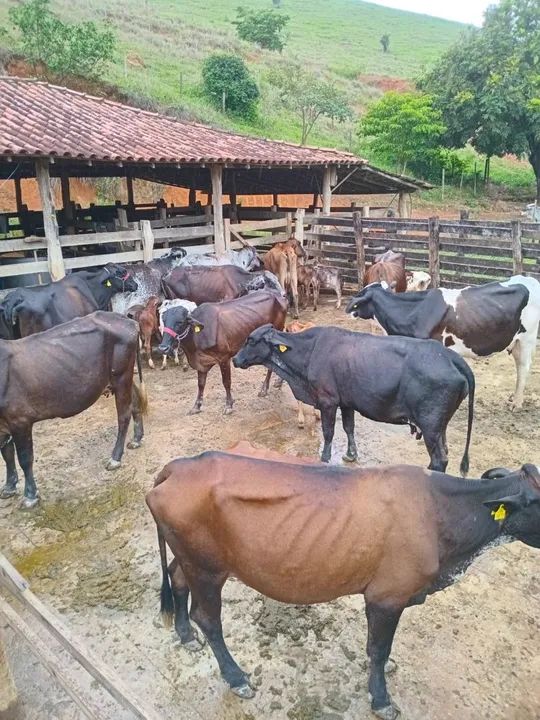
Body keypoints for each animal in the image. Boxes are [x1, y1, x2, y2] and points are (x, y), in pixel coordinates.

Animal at [0, 312, 147, 508]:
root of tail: (124, 317)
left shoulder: (20, 420)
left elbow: (25, 458)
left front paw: (30, 495)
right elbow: (7, 454)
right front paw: (9, 486)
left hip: (121, 375)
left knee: (123, 416)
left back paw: (115, 458)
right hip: (120, 379)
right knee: (136, 403)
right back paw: (137, 439)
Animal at [147, 445, 540, 720]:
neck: (441, 512)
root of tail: (179, 466)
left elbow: (377, 647)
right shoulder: (387, 596)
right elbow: (378, 649)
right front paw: (381, 699)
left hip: (191, 560)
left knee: (177, 579)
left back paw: (185, 635)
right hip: (207, 568)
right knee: (208, 618)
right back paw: (236, 677)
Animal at [158, 291, 287, 414]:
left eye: (180, 322)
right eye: (163, 320)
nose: (163, 348)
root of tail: (278, 296)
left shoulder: (224, 358)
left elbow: (226, 382)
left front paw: (229, 405)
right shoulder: (201, 362)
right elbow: (201, 384)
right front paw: (196, 406)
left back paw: (265, 388)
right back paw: (278, 382)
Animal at [233, 324, 474, 473]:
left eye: (251, 340)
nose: (235, 359)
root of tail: (450, 356)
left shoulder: (328, 400)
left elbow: (329, 432)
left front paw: (325, 457)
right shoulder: (347, 402)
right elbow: (349, 427)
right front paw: (350, 455)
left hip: (430, 424)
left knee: (440, 459)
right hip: (439, 426)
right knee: (444, 453)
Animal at [346, 275, 540, 410]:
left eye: (360, 295)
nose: (350, 310)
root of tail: (529, 279)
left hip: (527, 339)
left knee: (523, 368)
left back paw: (516, 403)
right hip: (516, 342)